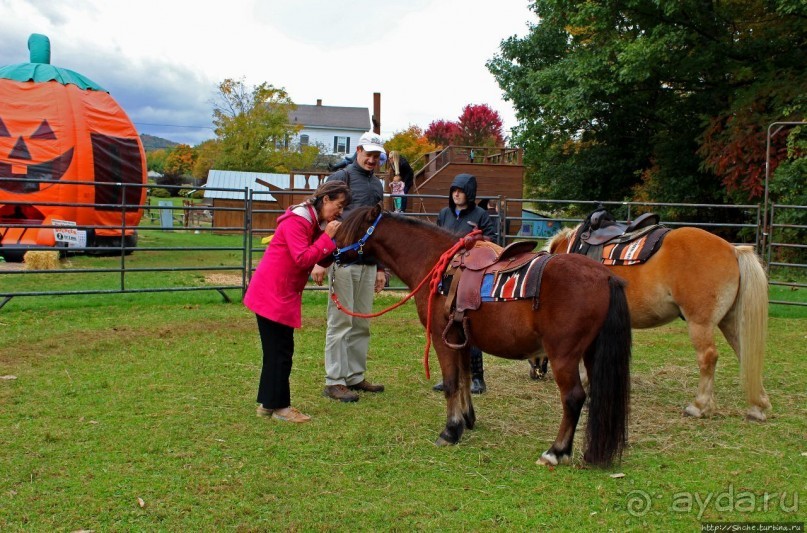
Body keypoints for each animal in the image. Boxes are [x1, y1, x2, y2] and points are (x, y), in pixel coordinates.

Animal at [332, 206, 636, 468]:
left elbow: (451, 382)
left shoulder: (442, 339)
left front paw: (450, 431)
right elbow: (465, 379)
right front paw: (467, 419)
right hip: (591, 353)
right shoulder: (461, 339)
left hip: (564, 356)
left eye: (345, 230)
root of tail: (605, 276)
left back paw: (556, 451)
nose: (329, 253)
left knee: (573, 398)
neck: (434, 262)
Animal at [548, 212, 772, 420]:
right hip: (730, 321)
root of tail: (733, 250)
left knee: (708, 357)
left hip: (700, 323)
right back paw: (757, 406)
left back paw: (699, 406)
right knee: (744, 352)